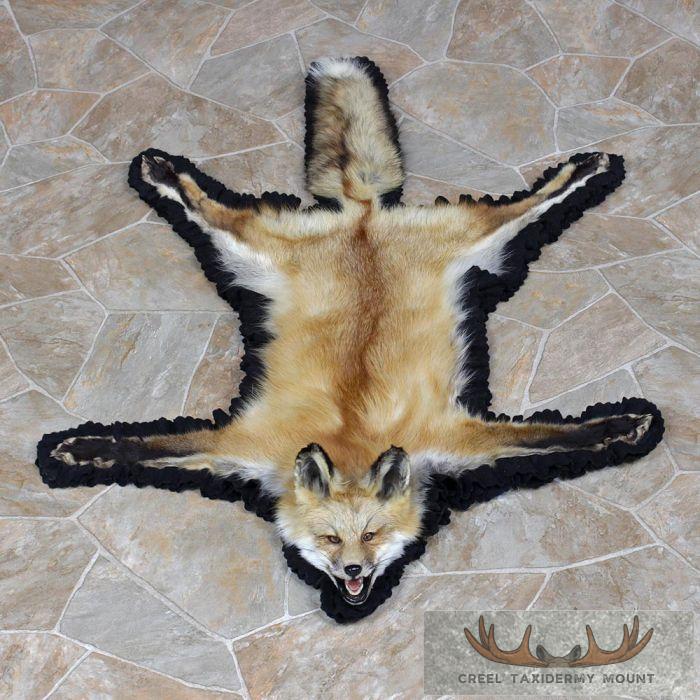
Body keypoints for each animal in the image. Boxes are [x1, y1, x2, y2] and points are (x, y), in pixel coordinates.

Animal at [51, 57, 656, 607]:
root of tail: (362, 213)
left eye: (372, 535)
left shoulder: (452, 439)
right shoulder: (246, 444)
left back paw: (585, 171)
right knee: (211, 208)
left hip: (472, 239)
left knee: (528, 204)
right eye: (329, 539)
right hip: (253, 250)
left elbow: (549, 438)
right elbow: (153, 446)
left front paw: (620, 426)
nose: (352, 574)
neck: (351, 442)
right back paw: (162, 173)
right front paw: (83, 449)